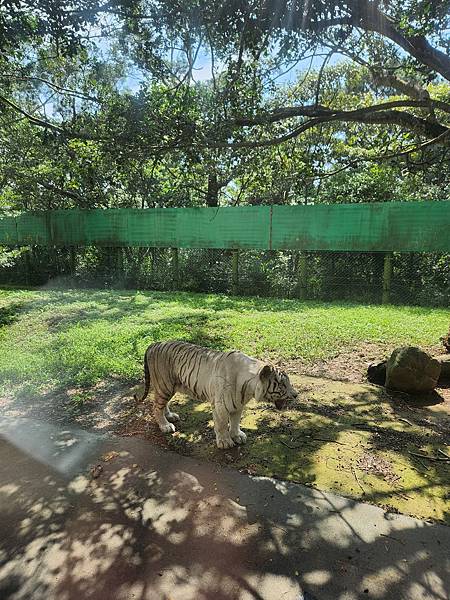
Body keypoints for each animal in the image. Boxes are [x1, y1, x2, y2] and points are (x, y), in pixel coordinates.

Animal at [135, 340, 300, 448]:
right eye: (282, 384)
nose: (296, 395)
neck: (249, 389)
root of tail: (154, 344)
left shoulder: (238, 405)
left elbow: (235, 422)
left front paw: (237, 435)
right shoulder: (221, 406)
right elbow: (221, 424)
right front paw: (225, 442)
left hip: (169, 387)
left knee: (163, 404)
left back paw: (170, 416)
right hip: (165, 386)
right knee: (156, 406)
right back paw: (165, 425)